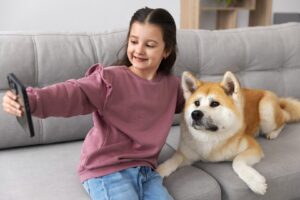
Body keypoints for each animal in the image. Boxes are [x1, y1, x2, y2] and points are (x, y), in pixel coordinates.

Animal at [156, 70, 300, 194]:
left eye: (214, 104)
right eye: (196, 103)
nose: (195, 114)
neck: (210, 138)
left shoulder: (253, 147)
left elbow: (237, 161)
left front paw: (255, 182)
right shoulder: (186, 154)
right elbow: (172, 161)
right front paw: (158, 171)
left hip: (266, 111)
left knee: (284, 120)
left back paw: (273, 133)